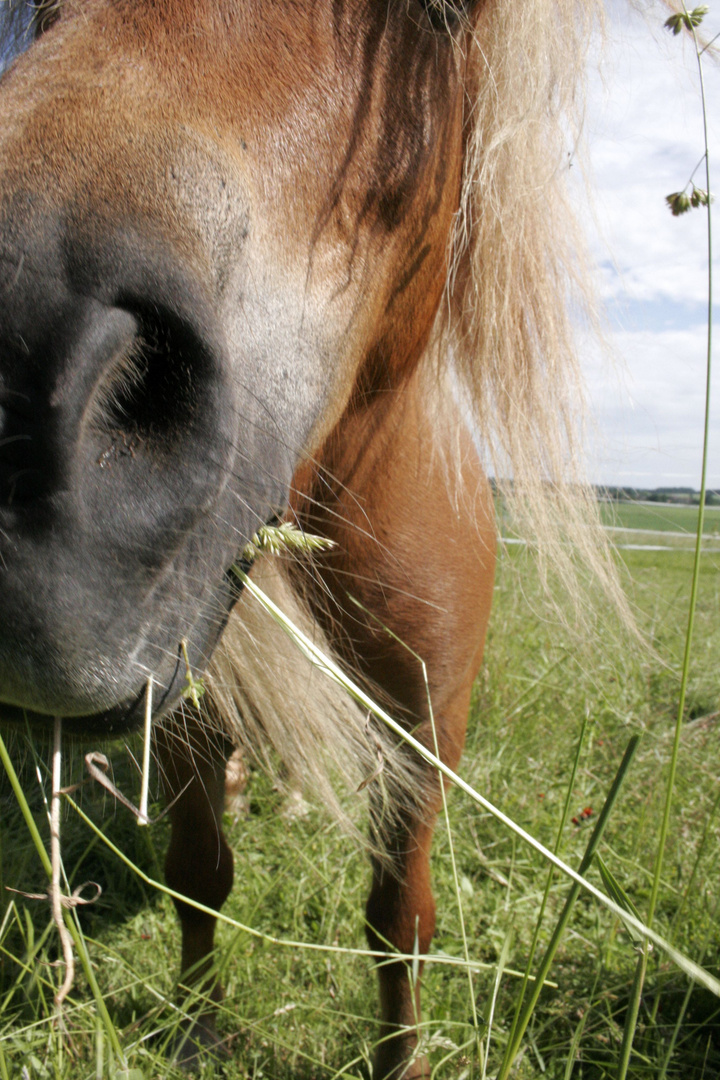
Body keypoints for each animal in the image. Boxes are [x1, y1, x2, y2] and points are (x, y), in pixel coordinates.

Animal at [0, 4, 621, 1075]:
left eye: (443, 16)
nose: (14, 370)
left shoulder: (428, 721)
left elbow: (399, 915)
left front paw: (402, 1059)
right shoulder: (188, 706)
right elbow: (200, 870)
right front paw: (197, 1027)